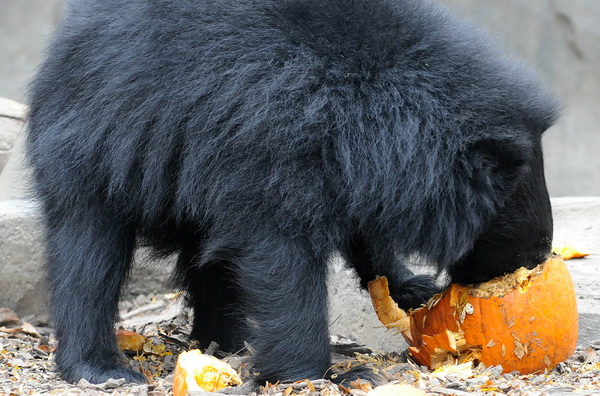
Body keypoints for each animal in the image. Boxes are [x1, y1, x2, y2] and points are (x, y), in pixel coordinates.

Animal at [24, 0, 556, 386]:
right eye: (507, 215)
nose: (538, 256)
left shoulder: (346, 165)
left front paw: (411, 287)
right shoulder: (275, 141)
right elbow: (282, 258)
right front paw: (323, 375)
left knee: (211, 259)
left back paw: (225, 342)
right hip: (100, 136)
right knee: (88, 253)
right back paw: (104, 369)